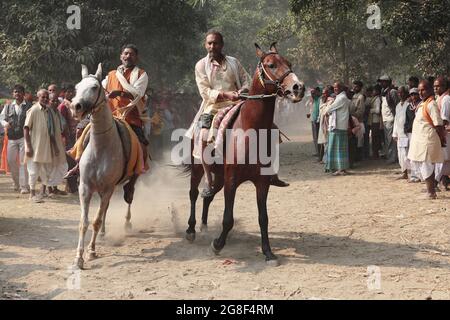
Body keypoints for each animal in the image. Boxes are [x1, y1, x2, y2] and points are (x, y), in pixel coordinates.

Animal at [185, 43, 304, 266]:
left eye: (290, 63)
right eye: (271, 65)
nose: (298, 87)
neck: (250, 130)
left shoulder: (262, 182)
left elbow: (263, 218)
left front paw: (268, 252)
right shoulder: (231, 179)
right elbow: (227, 219)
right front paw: (217, 245)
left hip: (218, 177)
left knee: (208, 196)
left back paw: (204, 226)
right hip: (199, 169)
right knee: (194, 194)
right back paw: (191, 230)